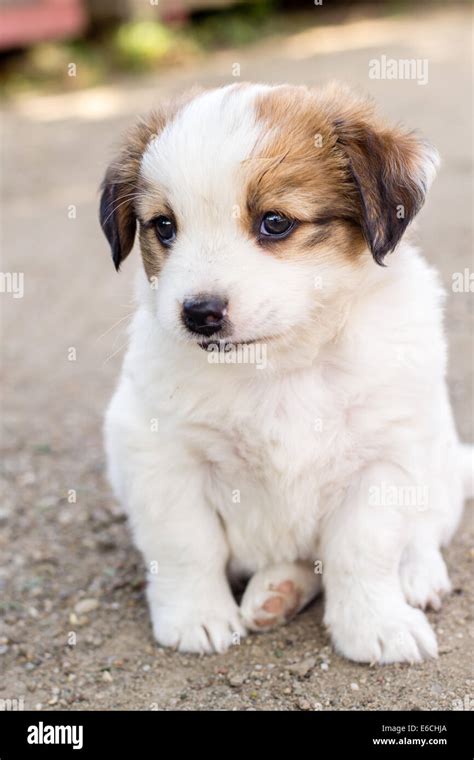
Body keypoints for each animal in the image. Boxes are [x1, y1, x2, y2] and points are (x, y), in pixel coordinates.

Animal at [98, 83, 472, 664]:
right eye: (164, 226)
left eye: (275, 222)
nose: (199, 313)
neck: (280, 366)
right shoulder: (159, 453)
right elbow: (185, 543)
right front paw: (196, 615)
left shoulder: (384, 458)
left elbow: (363, 549)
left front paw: (374, 623)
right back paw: (279, 589)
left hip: (438, 460)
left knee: (426, 529)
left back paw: (415, 574)